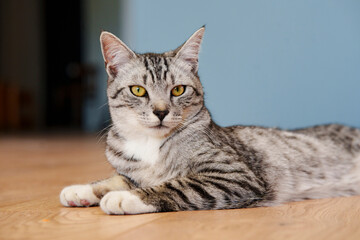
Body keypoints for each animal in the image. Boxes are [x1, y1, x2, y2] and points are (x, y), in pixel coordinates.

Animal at [59, 26, 360, 216]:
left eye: (178, 90)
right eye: (138, 91)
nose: (160, 112)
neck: (149, 145)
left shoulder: (235, 175)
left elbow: (176, 184)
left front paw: (128, 198)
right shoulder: (129, 171)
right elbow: (114, 179)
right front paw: (82, 190)